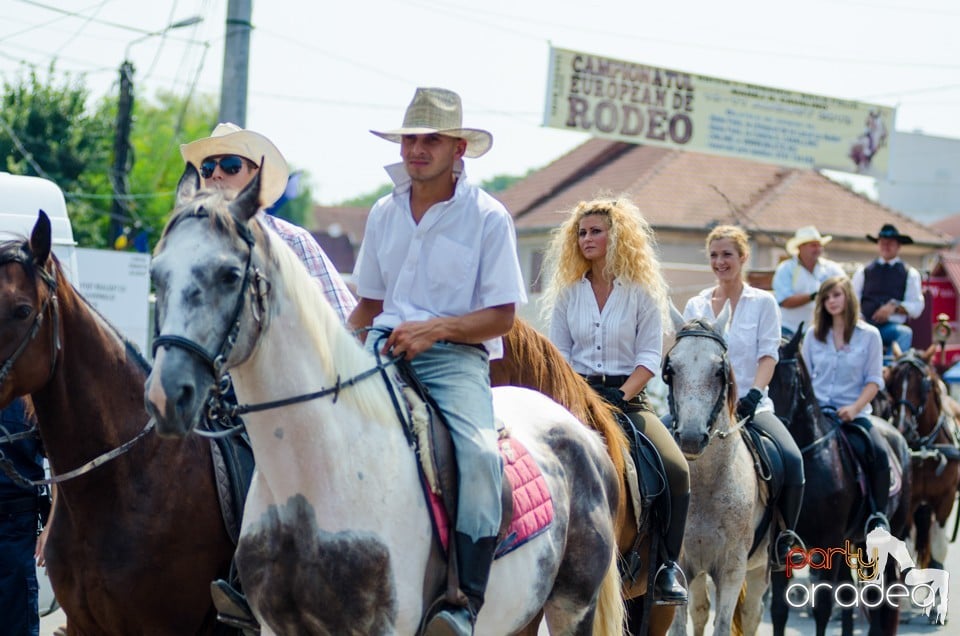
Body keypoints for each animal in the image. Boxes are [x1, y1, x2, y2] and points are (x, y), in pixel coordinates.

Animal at [664, 306, 768, 632]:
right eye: (671, 370)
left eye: (719, 371)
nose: (690, 438)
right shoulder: (680, 566)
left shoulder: (732, 569)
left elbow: (723, 624)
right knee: (700, 610)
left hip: (759, 569)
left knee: (751, 613)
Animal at [884, 346, 960, 568]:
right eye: (892, 383)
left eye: (923, 384)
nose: (903, 427)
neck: (925, 448)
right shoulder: (911, 501)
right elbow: (907, 547)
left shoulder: (946, 498)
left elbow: (939, 549)